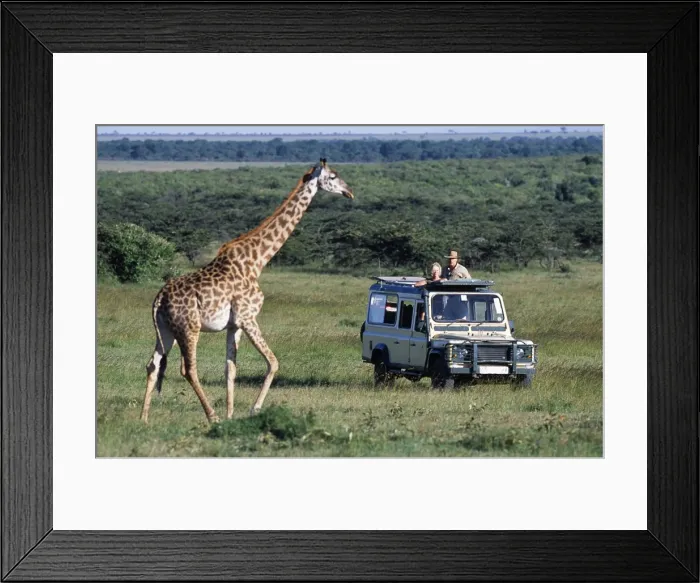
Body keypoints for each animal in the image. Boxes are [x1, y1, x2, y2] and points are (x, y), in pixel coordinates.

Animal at [140, 159, 354, 424]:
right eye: (333, 176)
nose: (349, 192)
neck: (257, 260)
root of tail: (159, 298)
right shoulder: (248, 317)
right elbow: (273, 362)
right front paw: (254, 409)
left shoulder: (234, 324)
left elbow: (230, 368)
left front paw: (231, 414)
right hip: (189, 327)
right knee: (188, 369)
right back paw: (211, 416)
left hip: (165, 329)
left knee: (153, 364)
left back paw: (144, 419)